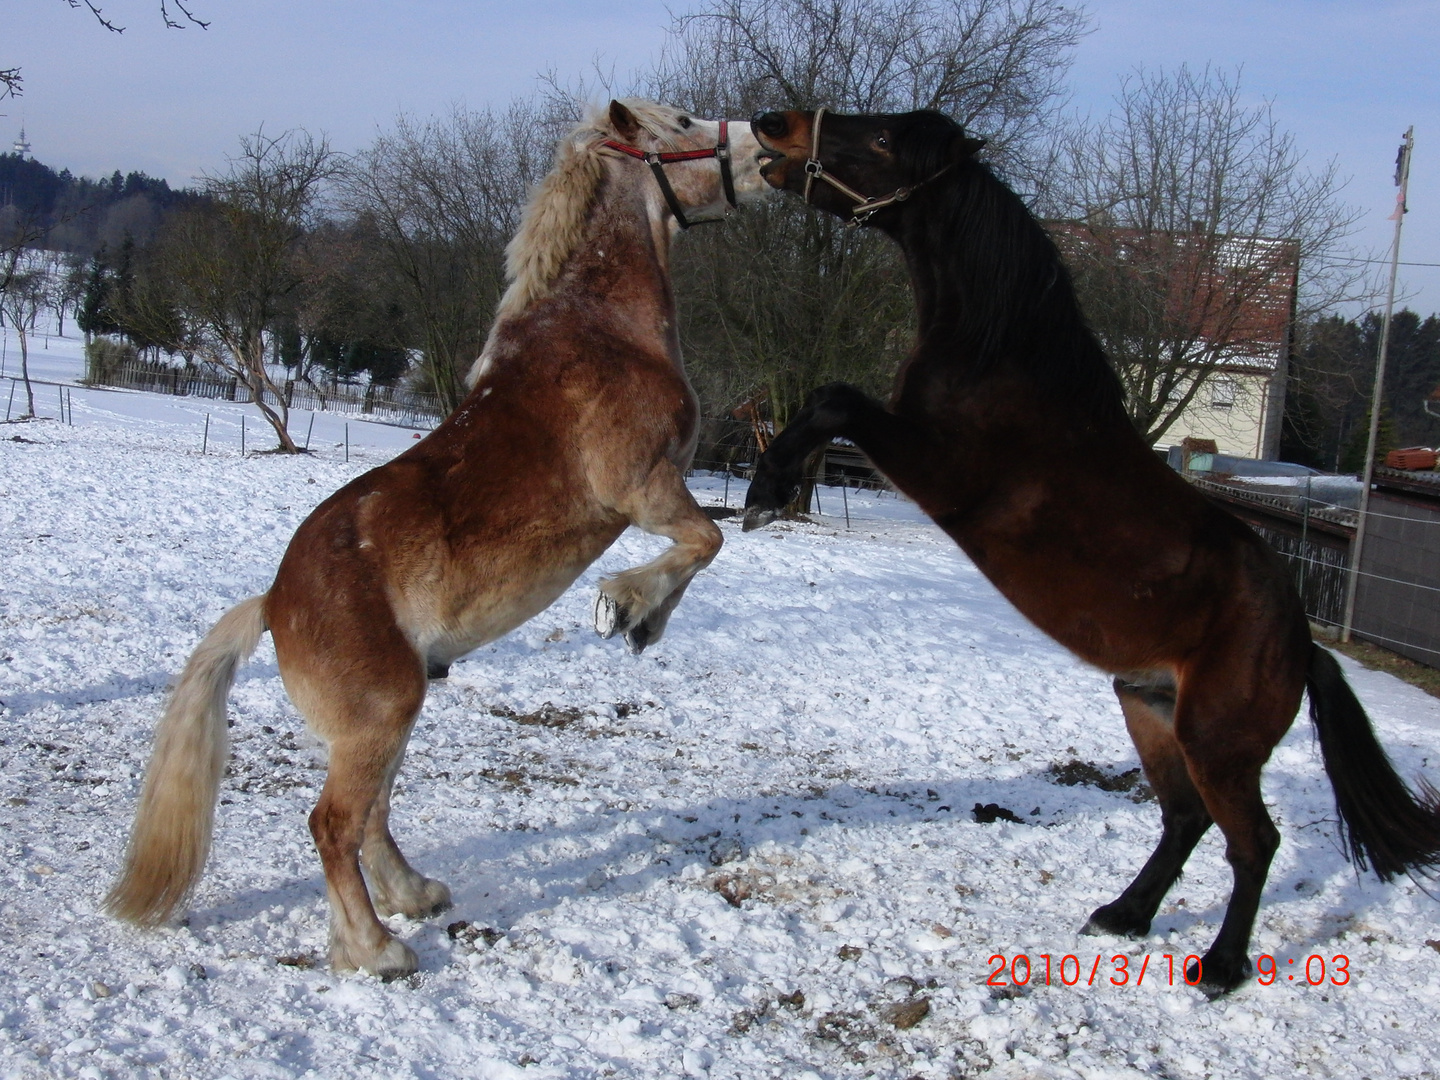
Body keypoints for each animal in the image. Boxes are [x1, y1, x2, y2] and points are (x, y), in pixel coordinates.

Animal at [109, 101, 777, 979]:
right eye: (688, 121)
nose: (768, 144)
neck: (601, 332)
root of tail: (275, 602)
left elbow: (706, 546)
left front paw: (640, 618)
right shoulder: (642, 489)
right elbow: (706, 541)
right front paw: (626, 609)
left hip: (390, 715)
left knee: (371, 817)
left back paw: (413, 896)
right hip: (383, 713)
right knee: (334, 824)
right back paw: (376, 950)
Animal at [743, 110, 1440, 996]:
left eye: (886, 140)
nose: (773, 126)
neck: (1002, 363)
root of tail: (1303, 642)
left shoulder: (939, 470)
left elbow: (835, 400)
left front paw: (764, 492)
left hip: (1216, 741)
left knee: (1253, 842)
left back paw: (1219, 967)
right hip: (1148, 709)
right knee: (1184, 820)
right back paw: (1124, 916)